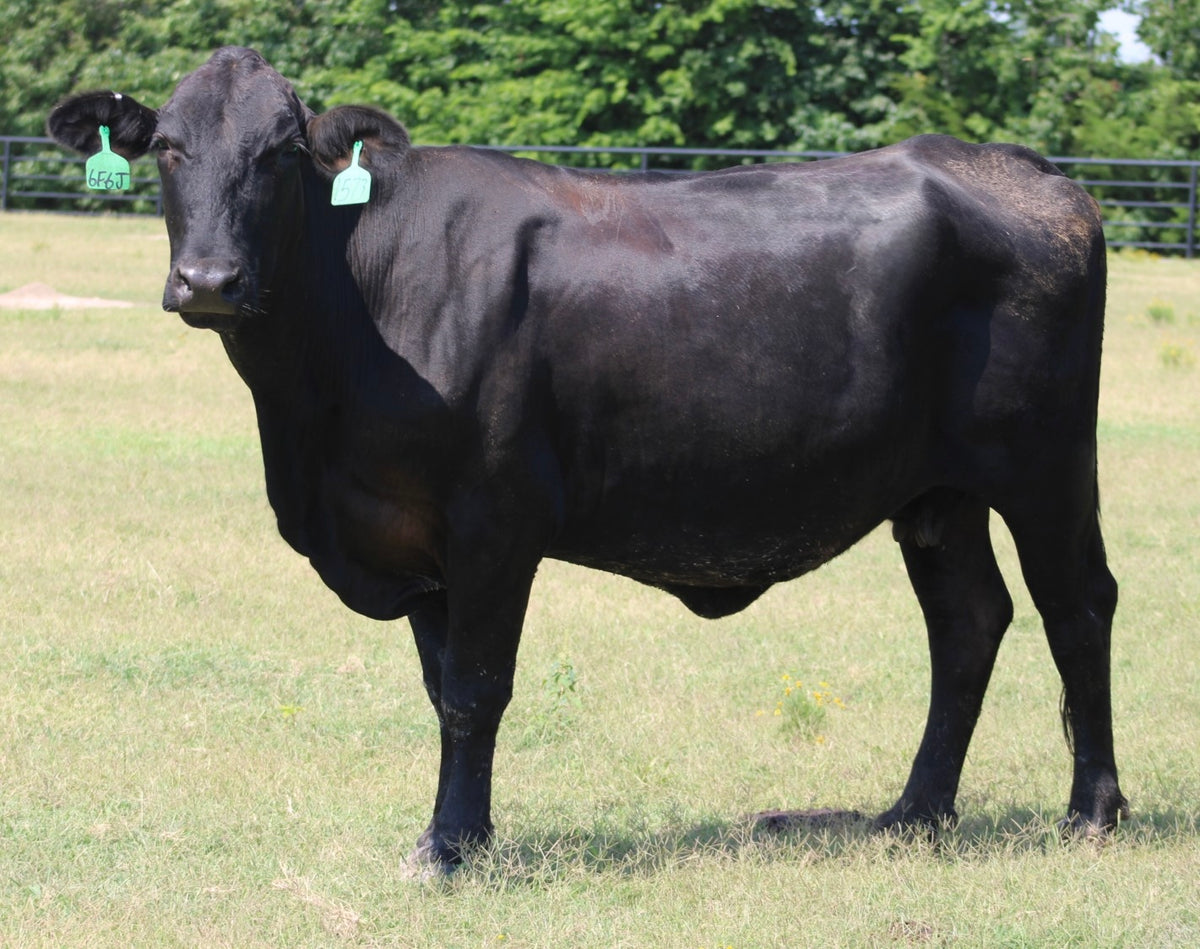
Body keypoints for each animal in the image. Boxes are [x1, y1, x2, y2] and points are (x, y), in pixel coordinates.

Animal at [48, 47, 1128, 873]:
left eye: (279, 155)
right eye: (169, 148)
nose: (209, 280)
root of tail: (1016, 168)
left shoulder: (493, 518)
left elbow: (477, 686)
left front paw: (447, 850)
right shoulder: (410, 534)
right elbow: (442, 686)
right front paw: (469, 834)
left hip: (1047, 464)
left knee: (1077, 606)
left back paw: (1093, 810)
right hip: (936, 489)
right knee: (968, 622)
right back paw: (914, 812)